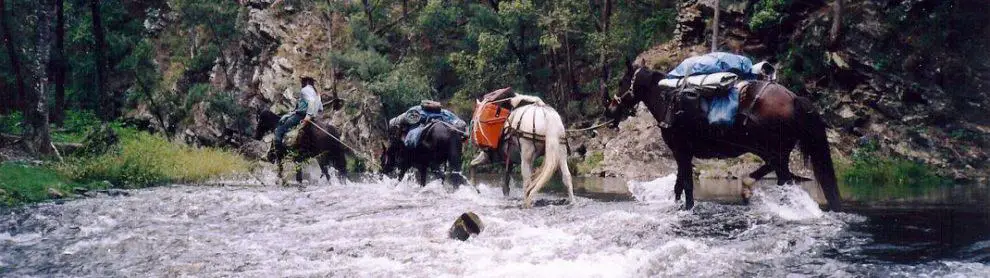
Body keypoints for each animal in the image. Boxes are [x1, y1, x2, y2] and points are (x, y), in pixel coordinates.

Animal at [604, 62, 844, 211]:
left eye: (622, 81)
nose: (611, 109)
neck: (669, 99)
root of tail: (794, 98)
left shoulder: (681, 152)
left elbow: (686, 186)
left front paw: (687, 208)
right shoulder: (683, 154)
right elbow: (679, 185)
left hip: (770, 147)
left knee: (779, 171)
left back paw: (747, 186)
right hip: (779, 149)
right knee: (782, 175)